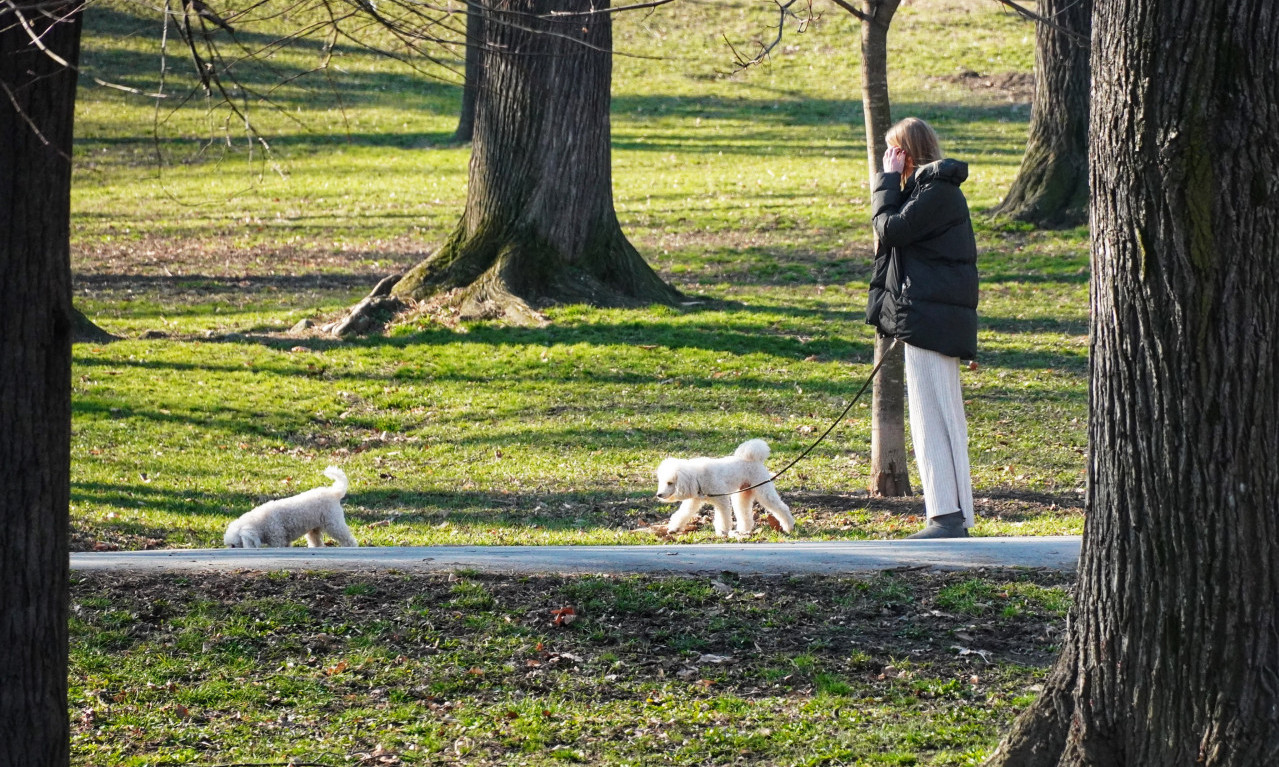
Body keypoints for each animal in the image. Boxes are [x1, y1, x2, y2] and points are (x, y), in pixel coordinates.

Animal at [223, 465, 355, 547]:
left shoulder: (278, 538)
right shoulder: (285, 541)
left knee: (348, 539)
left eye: (233, 545)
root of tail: (334, 492)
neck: (260, 523)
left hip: (334, 523)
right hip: (314, 528)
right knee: (316, 541)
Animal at [654, 439, 792, 536]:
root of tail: (755, 459)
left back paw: (789, 526)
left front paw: (722, 532)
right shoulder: (694, 501)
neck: (697, 477)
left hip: (763, 489)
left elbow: (723, 517)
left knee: (781, 508)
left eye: (670, 483)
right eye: (662, 481)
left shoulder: (721, 500)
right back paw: (744, 531)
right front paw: (674, 528)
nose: (659, 495)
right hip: (742, 493)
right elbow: (683, 513)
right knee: (744, 513)